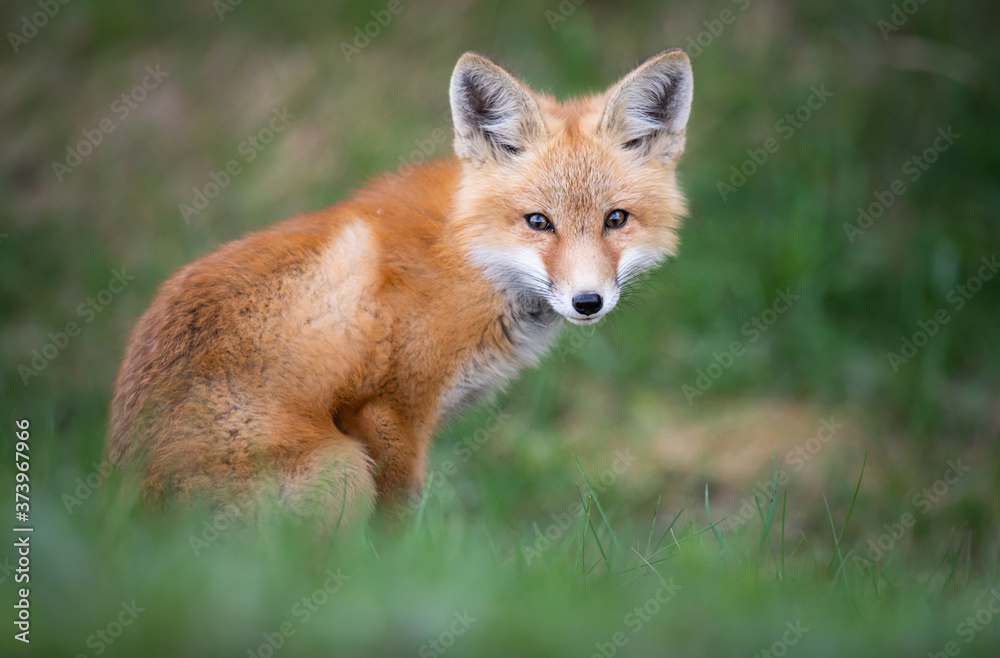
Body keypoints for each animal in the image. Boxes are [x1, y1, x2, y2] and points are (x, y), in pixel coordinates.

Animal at [107, 50, 694, 528]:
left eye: (615, 219)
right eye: (538, 222)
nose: (587, 302)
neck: (467, 257)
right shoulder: (390, 411)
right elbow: (395, 537)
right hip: (340, 468)